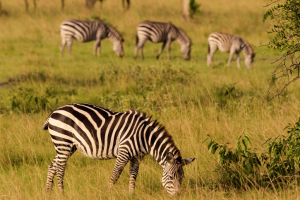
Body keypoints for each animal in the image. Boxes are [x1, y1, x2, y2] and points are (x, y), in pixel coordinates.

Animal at [42, 104, 197, 196]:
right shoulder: (124, 151)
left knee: (52, 165)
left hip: (67, 146)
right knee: (60, 168)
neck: (145, 137)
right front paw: (108, 193)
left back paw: (48, 192)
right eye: (170, 177)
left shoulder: (137, 156)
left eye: (182, 178)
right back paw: (62, 193)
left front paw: (131, 195)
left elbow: (133, 175)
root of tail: (54, 112)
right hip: (63, 142)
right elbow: (115, 174)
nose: (178, 196)